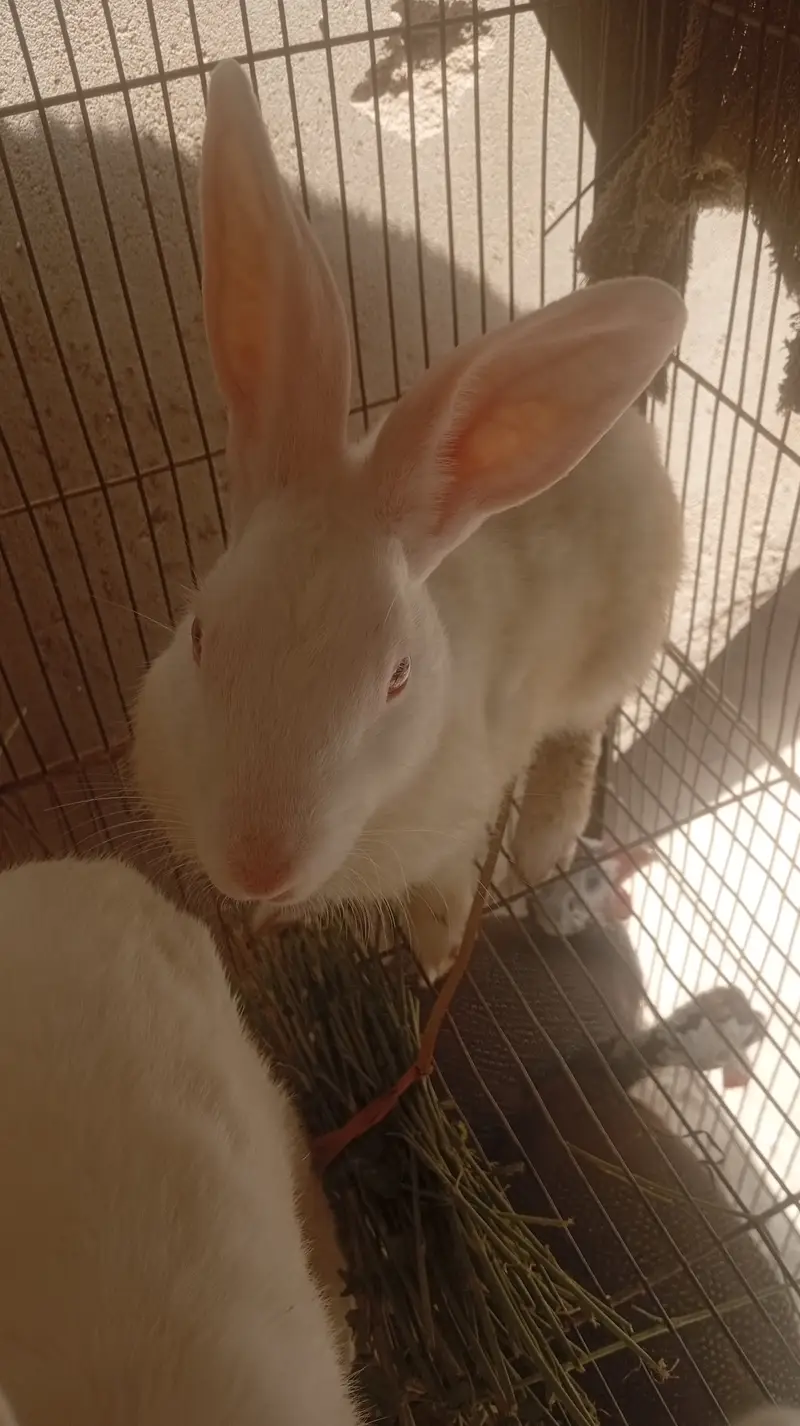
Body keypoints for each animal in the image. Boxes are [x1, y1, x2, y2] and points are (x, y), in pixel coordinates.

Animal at [133, 56, 686, 979]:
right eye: (200, 636)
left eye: (396, 678)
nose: (258, 864)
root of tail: (634, 435)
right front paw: (266, 921)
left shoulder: (456, 816)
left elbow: (446, 880)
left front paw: (432, 951)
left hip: (615, 647)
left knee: (579, 739)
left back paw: (544, 846)